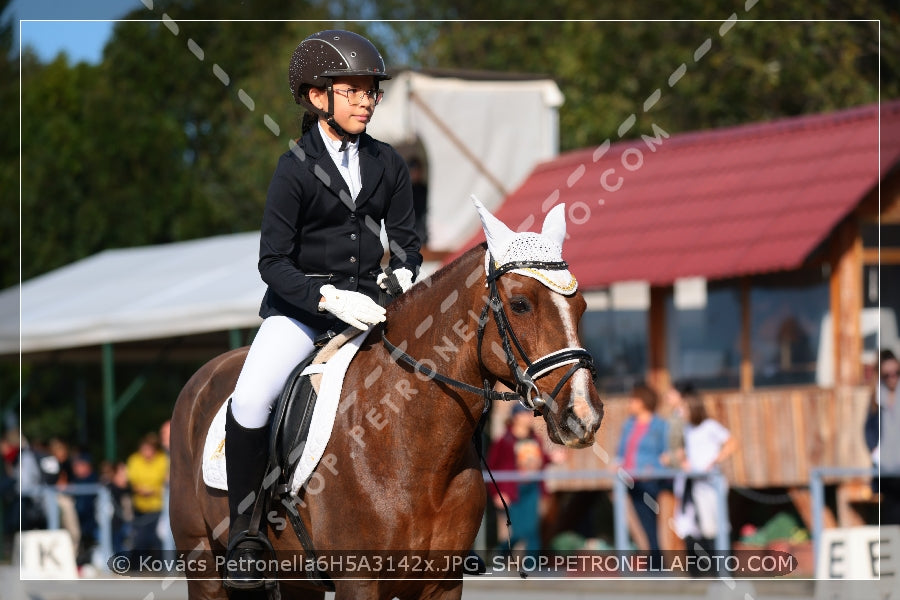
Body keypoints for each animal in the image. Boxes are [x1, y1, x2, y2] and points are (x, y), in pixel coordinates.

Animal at [169, 221, 604, 600]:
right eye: (520, 304)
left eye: (582, 307)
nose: (584, 415)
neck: (410, 444)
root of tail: (204, 375)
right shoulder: (359, 582)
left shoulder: (442, 585)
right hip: (203, 566)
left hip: (297, 582)